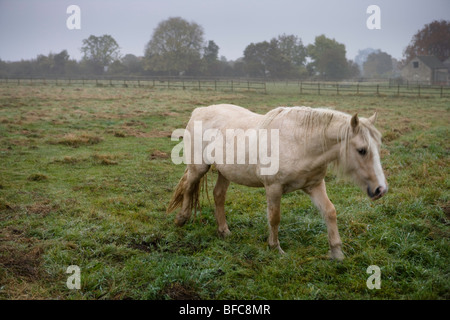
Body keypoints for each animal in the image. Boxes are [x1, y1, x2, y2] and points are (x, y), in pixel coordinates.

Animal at [167, 105, 388, 260]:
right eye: (362, 150)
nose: (381, 189)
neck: (300, 142)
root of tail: (198, 111)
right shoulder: (273, 188)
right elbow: (274, 217)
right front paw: (275, 248)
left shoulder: (315, 185)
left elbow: (330, 212)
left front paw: (337, 252)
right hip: (198, 167)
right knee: (189, 188)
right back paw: (181, 219)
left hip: (225, 171)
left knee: (218, 195)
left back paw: (224, 231)